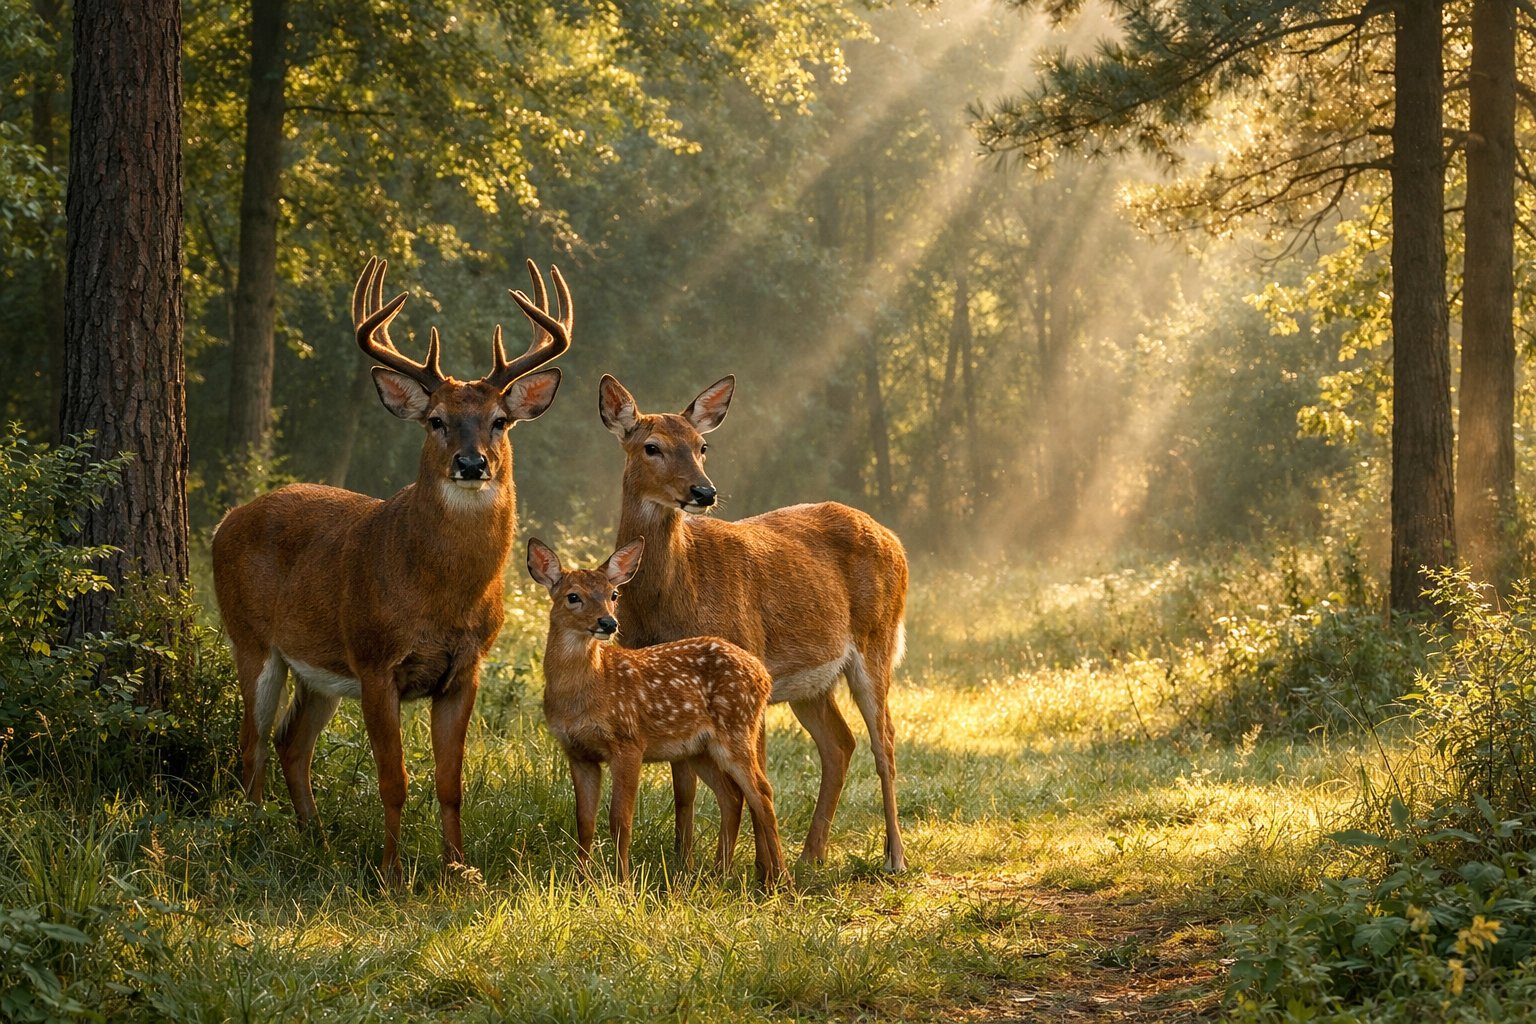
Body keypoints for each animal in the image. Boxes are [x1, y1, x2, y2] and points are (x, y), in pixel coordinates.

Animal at [212, 256, 572, 882]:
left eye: (500, 420)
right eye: (435, 420)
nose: (472, 463)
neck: (442, 594)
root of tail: (222, 522)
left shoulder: (465, 669)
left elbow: (451, 783)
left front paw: (460, 871)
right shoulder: (376, 659)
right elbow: (394, 780)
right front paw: (390, 874)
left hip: (320, 669)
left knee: (290, 742)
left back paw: (317, 840)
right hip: (252, 638)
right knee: (251, 741)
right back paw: (255, 834)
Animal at [526, 537, 787, 885]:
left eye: (613, 594)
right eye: (573, 596)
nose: (608, 623)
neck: (585, 692)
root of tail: (763, 675)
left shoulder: (628, 742)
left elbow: (620, 820)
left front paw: (622, 883)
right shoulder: (578, 752)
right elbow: (584, 822)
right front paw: (581, 881)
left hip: (736, 728)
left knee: (763, 792)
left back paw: (781, 879)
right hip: (698, 748)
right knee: (732, 796)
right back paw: (718, 874)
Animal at [598, 374, 910, 872]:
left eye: (702, 446)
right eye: (651, 446)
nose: (704, 492)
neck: (668, 601)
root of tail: (895, 540)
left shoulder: (744, 656)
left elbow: (747, 780)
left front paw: (753, 869)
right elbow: (683, 786)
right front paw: (684, 863)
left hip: (876, 639)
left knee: (886, 743)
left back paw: (893, 857)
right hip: (812, 681)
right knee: (839, 744)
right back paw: (810, 856)